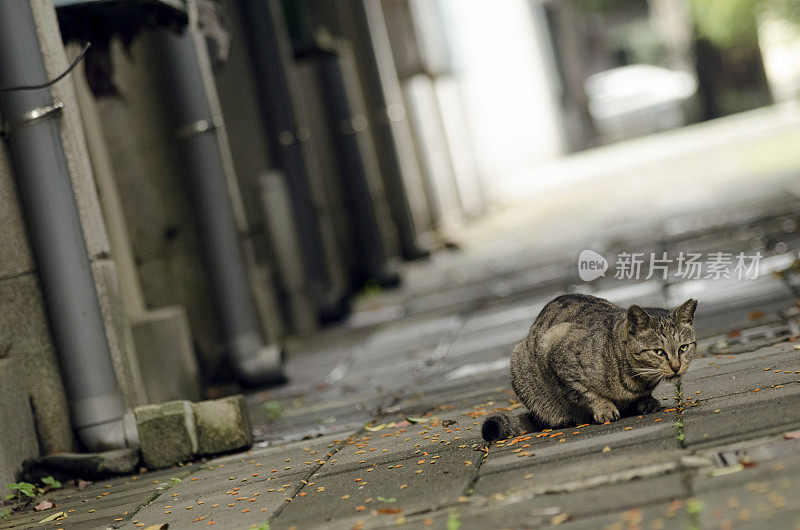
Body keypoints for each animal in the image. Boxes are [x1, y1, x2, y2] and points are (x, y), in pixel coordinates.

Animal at [484, 292, 696, 442]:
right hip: (519, 363)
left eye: (683, 348)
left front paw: (646, 401)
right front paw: (605, 409)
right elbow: (587, 394)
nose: (676, 367)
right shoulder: (560, 360)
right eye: (659, 351)